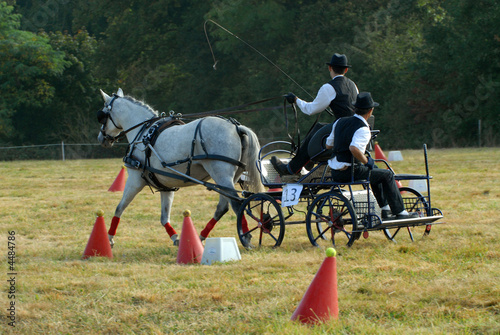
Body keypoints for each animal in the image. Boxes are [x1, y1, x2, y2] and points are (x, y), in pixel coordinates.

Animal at [95, 88, 264, 247]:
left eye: (102, 115)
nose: (101, 139)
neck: (143, 134)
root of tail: (236, 128)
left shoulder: (135, 180)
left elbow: (119, 208)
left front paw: (109, 239)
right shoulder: (166, 186)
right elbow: (164, 217)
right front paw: (177, 238)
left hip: (221, 175)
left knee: (237, 203)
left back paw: (246, 236)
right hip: (229, 178)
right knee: (223, 206)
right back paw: (200, 237)